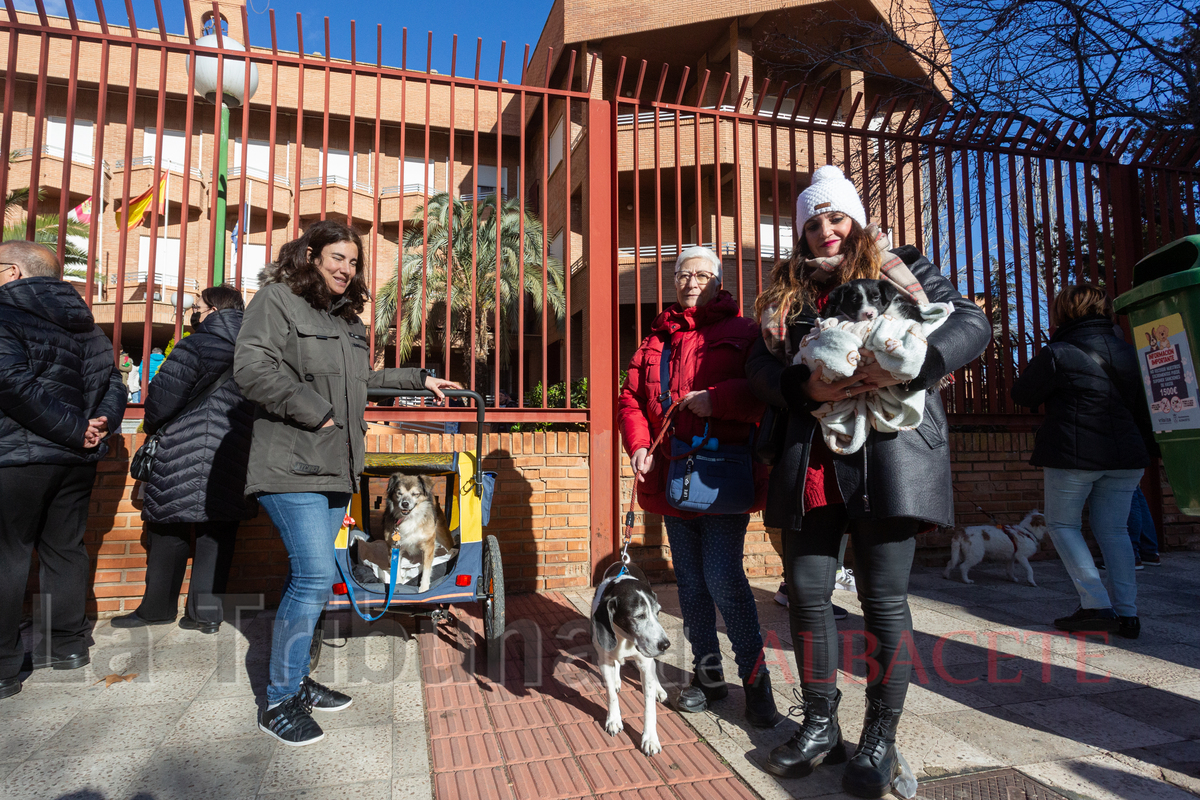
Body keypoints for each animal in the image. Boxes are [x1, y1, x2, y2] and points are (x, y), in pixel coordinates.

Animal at [592, 563, 676, 758]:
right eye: (639, 616)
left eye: (658, 612)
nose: (665, 644)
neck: (625, 636)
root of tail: (625, 562)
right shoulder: (603, 661)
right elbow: (611, 695)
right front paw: (613, 719)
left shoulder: (645, 663)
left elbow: (649, 707)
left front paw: (650, 739)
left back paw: (659, 690)